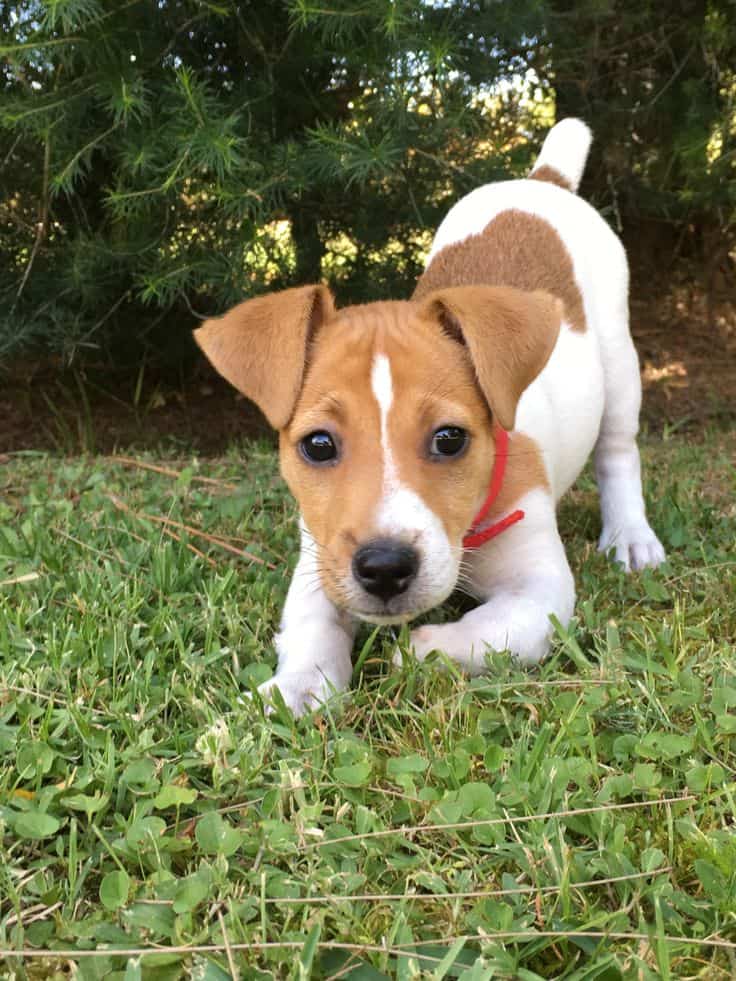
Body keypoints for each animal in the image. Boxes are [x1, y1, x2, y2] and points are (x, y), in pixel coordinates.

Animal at [196, 118, 668, 716]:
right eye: (318, 445)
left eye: (449, 439)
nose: (384, 567)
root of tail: (542, 180)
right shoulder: (319, 557)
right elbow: (311, 625)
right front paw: (298, 686)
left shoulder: (540, 592)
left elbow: (485, 632)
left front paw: (415, 650)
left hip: (619, 361)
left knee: (618, 452)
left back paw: (630, 534)